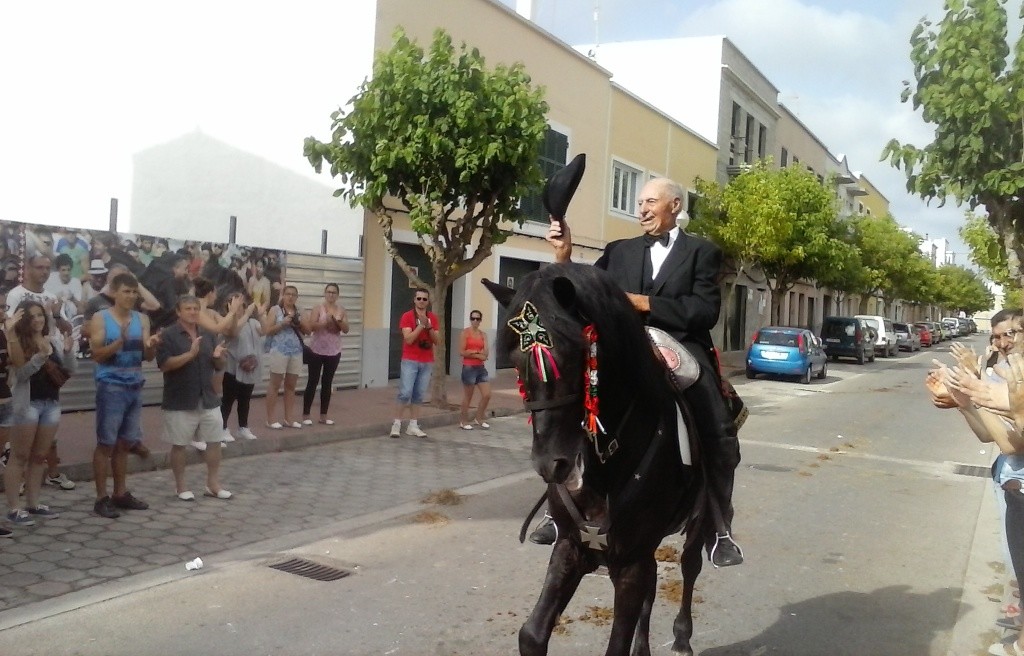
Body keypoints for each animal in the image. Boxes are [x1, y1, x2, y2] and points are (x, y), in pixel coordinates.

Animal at [483, 261, 708, 654]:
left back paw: (682, 637)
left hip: (697, 519)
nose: (551, 465)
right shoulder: (572, 547)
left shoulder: (630, 561)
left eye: (576, 356)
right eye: (515, 362)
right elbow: (532, 634)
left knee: (690, 564)